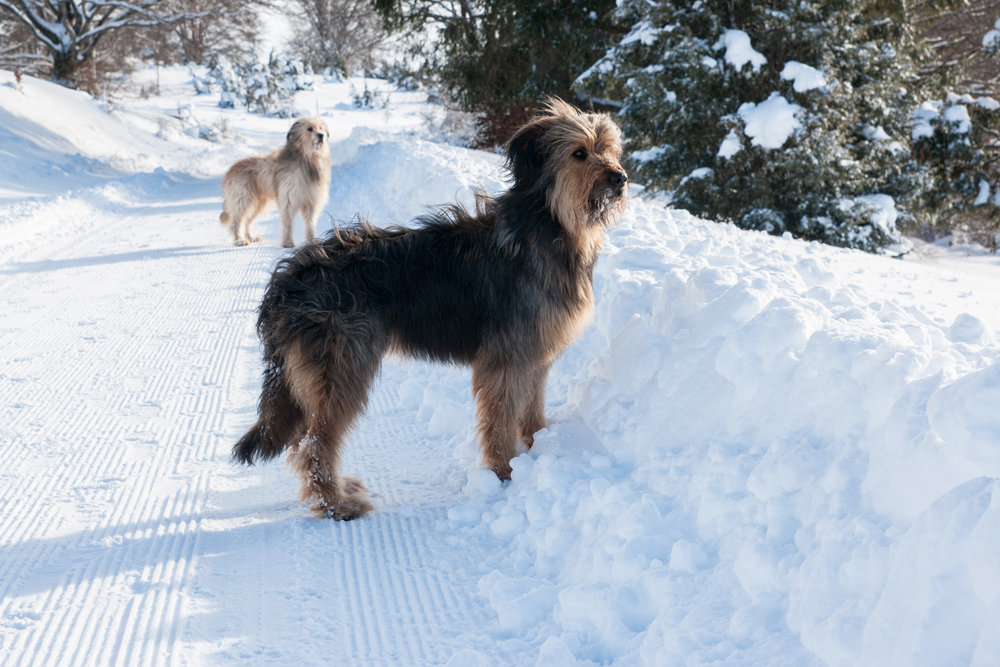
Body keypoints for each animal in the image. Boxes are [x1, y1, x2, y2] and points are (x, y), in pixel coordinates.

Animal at [219, 117, 331, 247]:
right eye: (309, 129)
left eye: (320, 128)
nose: (321, 135)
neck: (307, 160)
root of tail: (230, 169)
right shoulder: (288, 198)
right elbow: (288, 221)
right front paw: (287, 242)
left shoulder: (311, 201)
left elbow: (310, 222)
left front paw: (312, 240)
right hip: (242, 199)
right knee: (237, 221)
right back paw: (240, 240)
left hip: (258, 203)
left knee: (247, 220)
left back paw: (251, 237)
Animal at [232, 99, 628, 519]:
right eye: (579, 153)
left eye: (609, 149)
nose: (619, 178)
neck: (549, 227)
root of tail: (291, 279)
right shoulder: (506, 360)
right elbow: (500, 423)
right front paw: (504, 475)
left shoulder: (535, 355)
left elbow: (531, 413)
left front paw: (538, 452)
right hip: (341, 367)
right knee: (313, 444)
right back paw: (337, 504)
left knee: (303, 440)